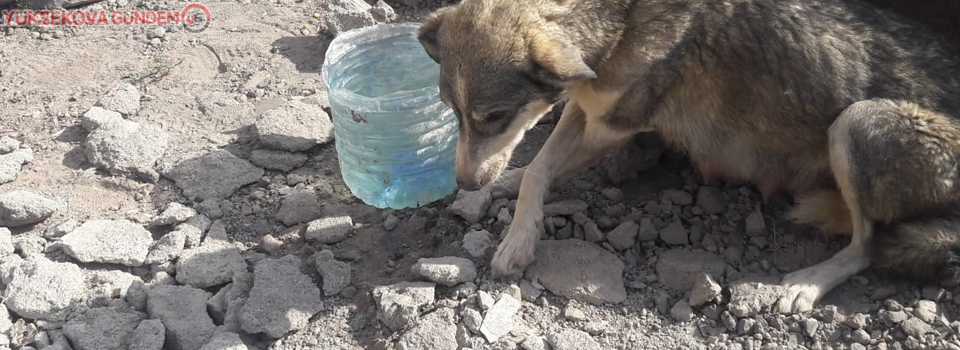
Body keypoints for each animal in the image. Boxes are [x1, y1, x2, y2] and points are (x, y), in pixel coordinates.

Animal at [416, 0, 960, 314]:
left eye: (494, 116)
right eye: (450, 110)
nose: (465, 183)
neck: (621, 19)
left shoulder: (614, 125)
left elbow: (541, 169)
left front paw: (517, 240)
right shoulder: (587, 105)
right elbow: (536, 165)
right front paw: (505, 188)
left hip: (858, 122)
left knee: (868, 245)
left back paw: (809, 282)